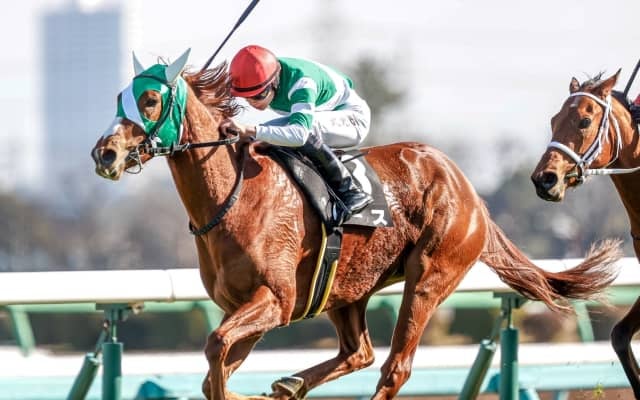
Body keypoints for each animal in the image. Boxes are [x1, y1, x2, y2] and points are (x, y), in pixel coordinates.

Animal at [92, 49, 621, 400]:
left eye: (151, 100)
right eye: (119, 99)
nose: (105, 153)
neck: (234, 198)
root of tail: (470, 191)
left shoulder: (276, 299)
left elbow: (216, 348)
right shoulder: (249, 306)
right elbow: (214, 365)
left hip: (429, 277)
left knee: (394, 366)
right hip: (346, 288)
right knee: (358, 353)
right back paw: (289, 384)